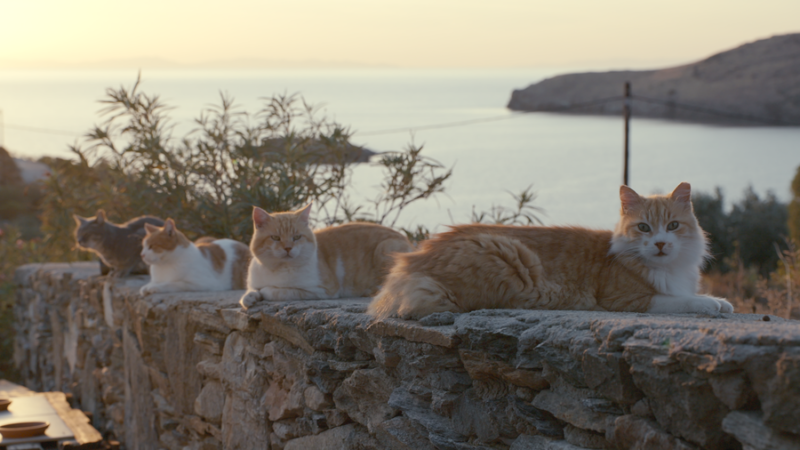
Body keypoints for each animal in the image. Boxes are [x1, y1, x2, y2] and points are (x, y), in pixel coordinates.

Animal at [238, 204, 412, 310]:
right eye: (275, 238)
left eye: (296, 237)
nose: (288, 248)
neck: (276, 270)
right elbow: (251, 291)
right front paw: (249, 298)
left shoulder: (322, 290)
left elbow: (275, 291)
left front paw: (264, 292)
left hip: (386, 247)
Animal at [368, 183, 732, 320]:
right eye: (643, 228)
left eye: (672, 226)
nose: (659, 243)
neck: (671, 268)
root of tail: (411, 263)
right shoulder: (626, 299)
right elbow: (681, 300)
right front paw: (712, 303)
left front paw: (721, 301)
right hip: (510, 260)